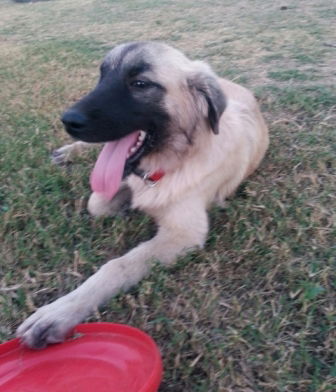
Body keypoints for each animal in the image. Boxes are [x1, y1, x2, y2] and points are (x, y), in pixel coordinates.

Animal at [17, 41, 270, 348]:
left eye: (140, 84)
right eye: (102, 76)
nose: (68, 120)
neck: (170, 162)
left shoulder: (184, 234)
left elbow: (120, 265)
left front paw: (60, 312)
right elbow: (96, 202)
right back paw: (69, 151)